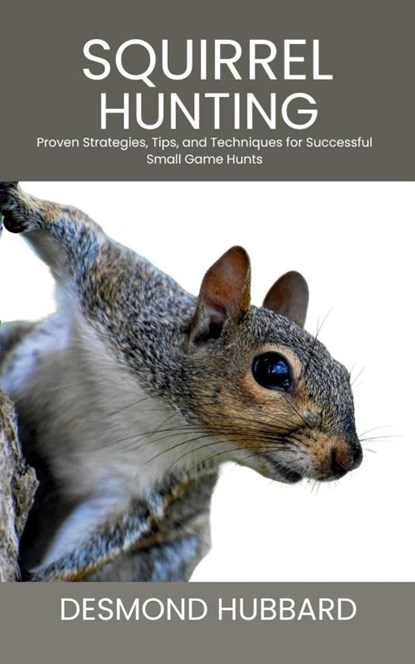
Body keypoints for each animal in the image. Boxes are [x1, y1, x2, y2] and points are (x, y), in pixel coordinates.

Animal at [0, 182, 362, 581]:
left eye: (344, 375)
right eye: (273, 370)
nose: (349, 457)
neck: (164, 411)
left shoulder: (144, 488)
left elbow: (102, 535)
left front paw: (39, 577)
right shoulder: (119, 289)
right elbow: (78, 233)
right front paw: (22, 205)